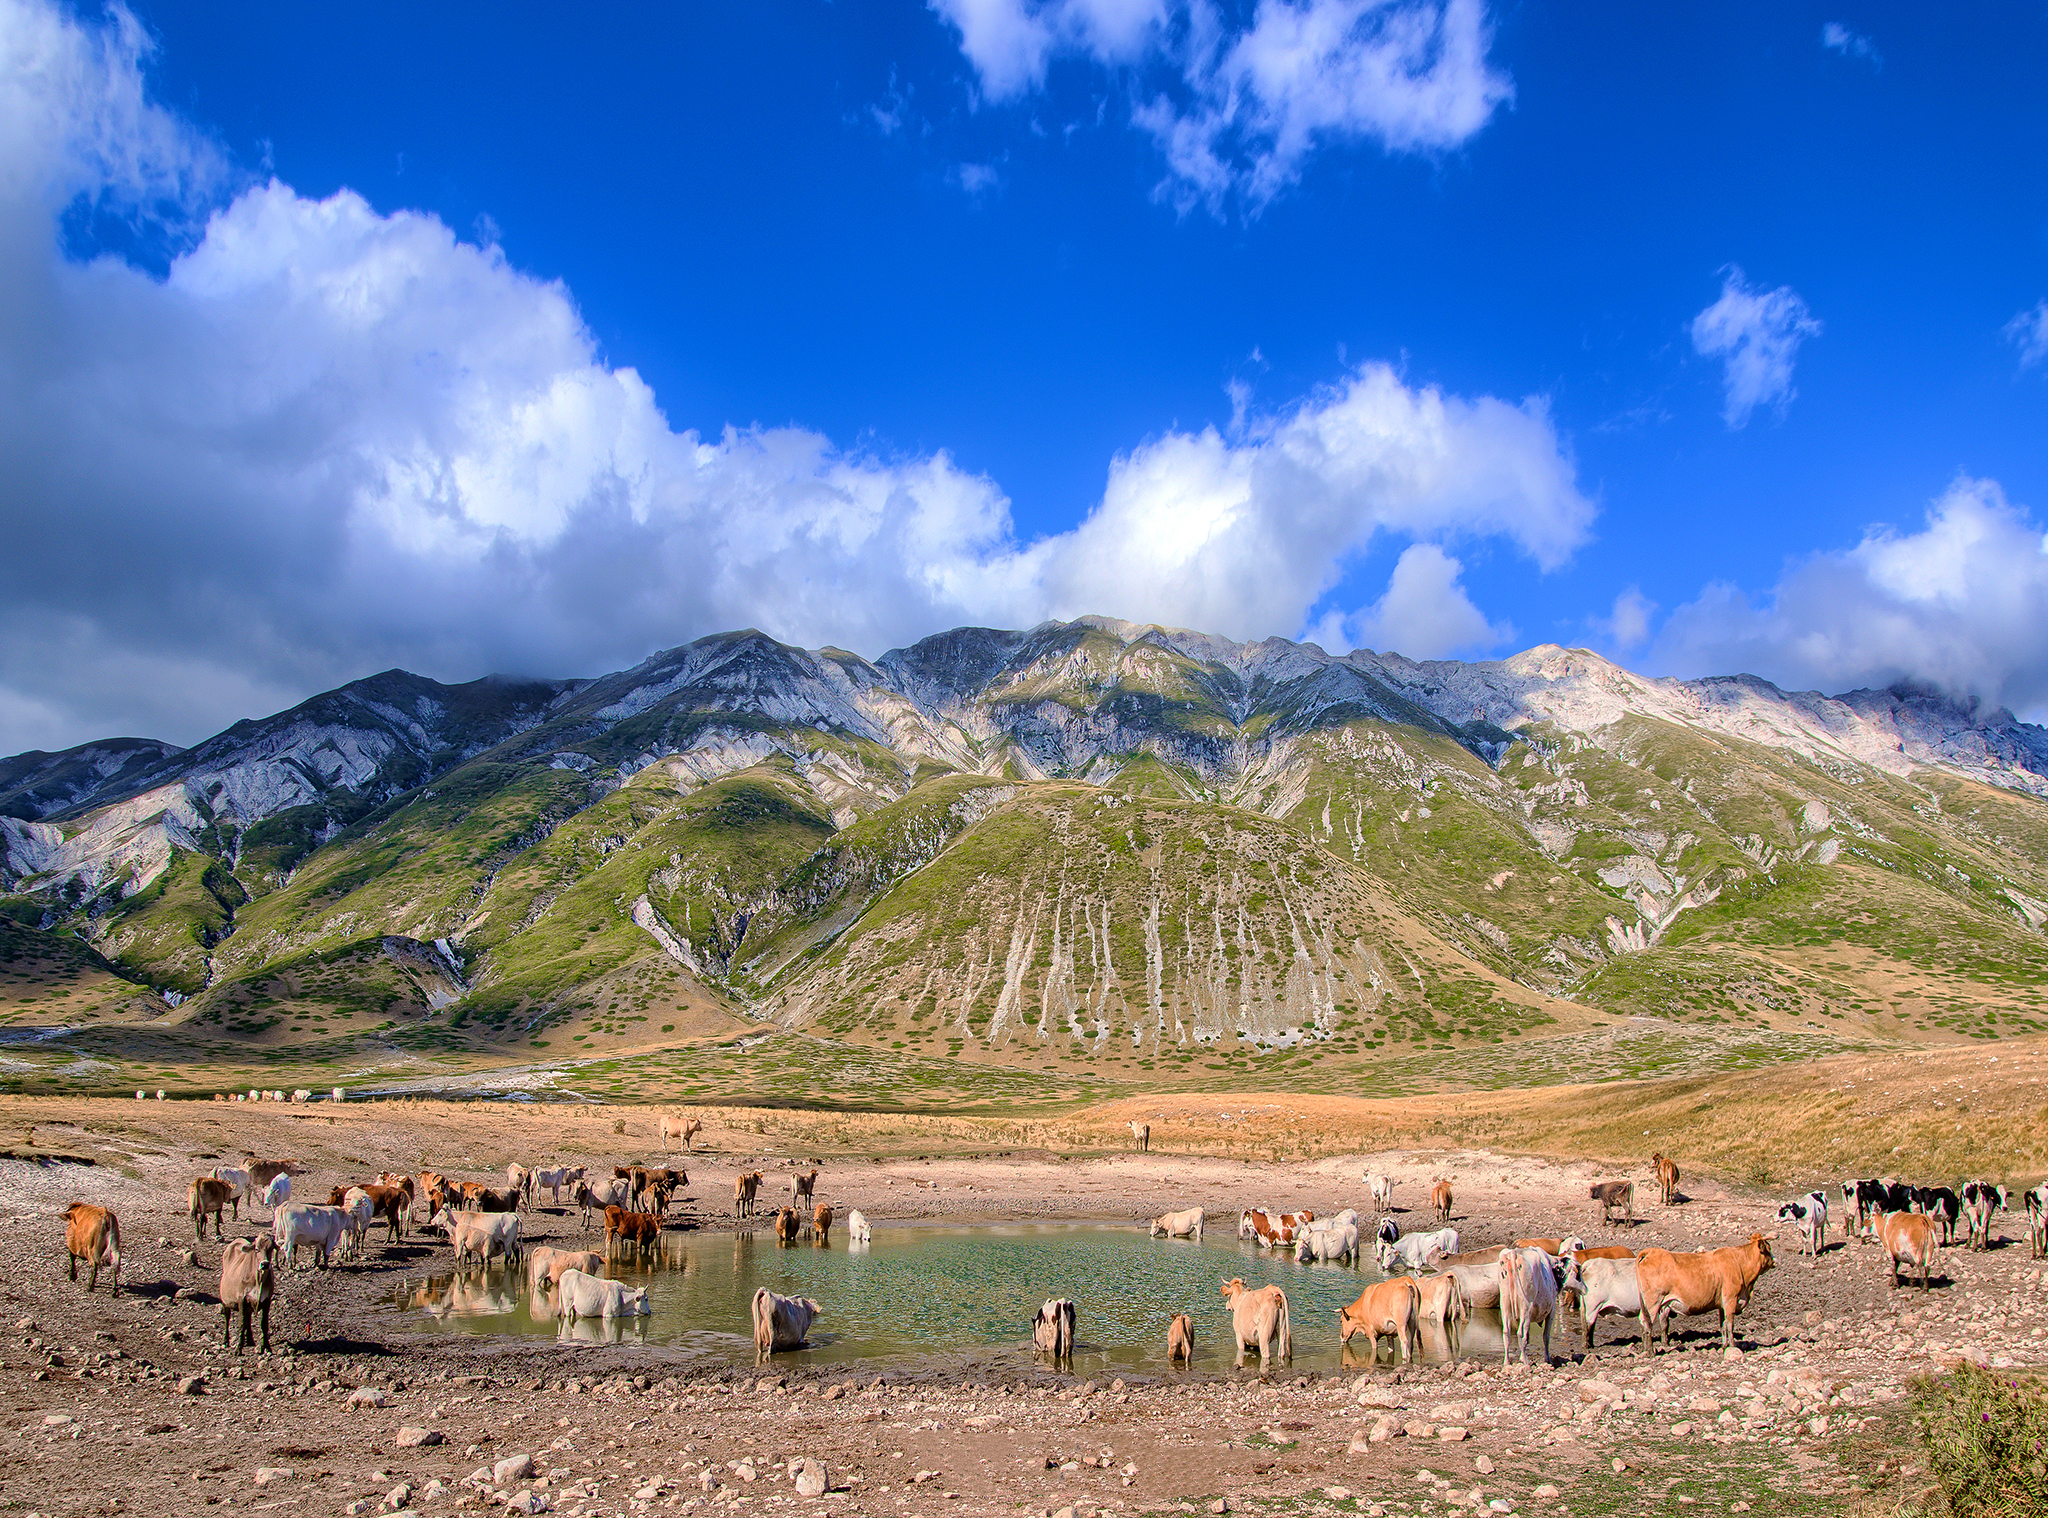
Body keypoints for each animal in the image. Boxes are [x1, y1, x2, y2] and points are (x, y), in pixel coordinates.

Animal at [1630, 1229, 1777, 1352]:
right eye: (1769, 1248)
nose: (1774, 1261)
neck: (1739, 1263)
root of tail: (1651, 1251)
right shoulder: (1731, 1299)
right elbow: (1730, 1325)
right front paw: (1733, 1346)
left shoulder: (1721, 1305)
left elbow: (1722, 1325)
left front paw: (1724, 1346)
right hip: (1653, 1302)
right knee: (1646, 1322)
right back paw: (1650, 1351)